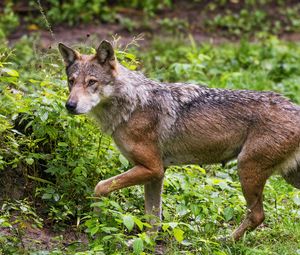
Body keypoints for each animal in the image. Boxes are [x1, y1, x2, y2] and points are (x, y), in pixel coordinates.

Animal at [58, 40, 300, 240]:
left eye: (91, 82)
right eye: (71, 81)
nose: (70, 105)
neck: (131, 106)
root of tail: (295, 107)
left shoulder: (152, 168)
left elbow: (100, 186)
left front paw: (96, 219)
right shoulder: (157, 174)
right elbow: (153, 220)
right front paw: (144, 244)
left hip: (246, 169)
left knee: (257, 216)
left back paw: (225, 241)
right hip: (287, 177)